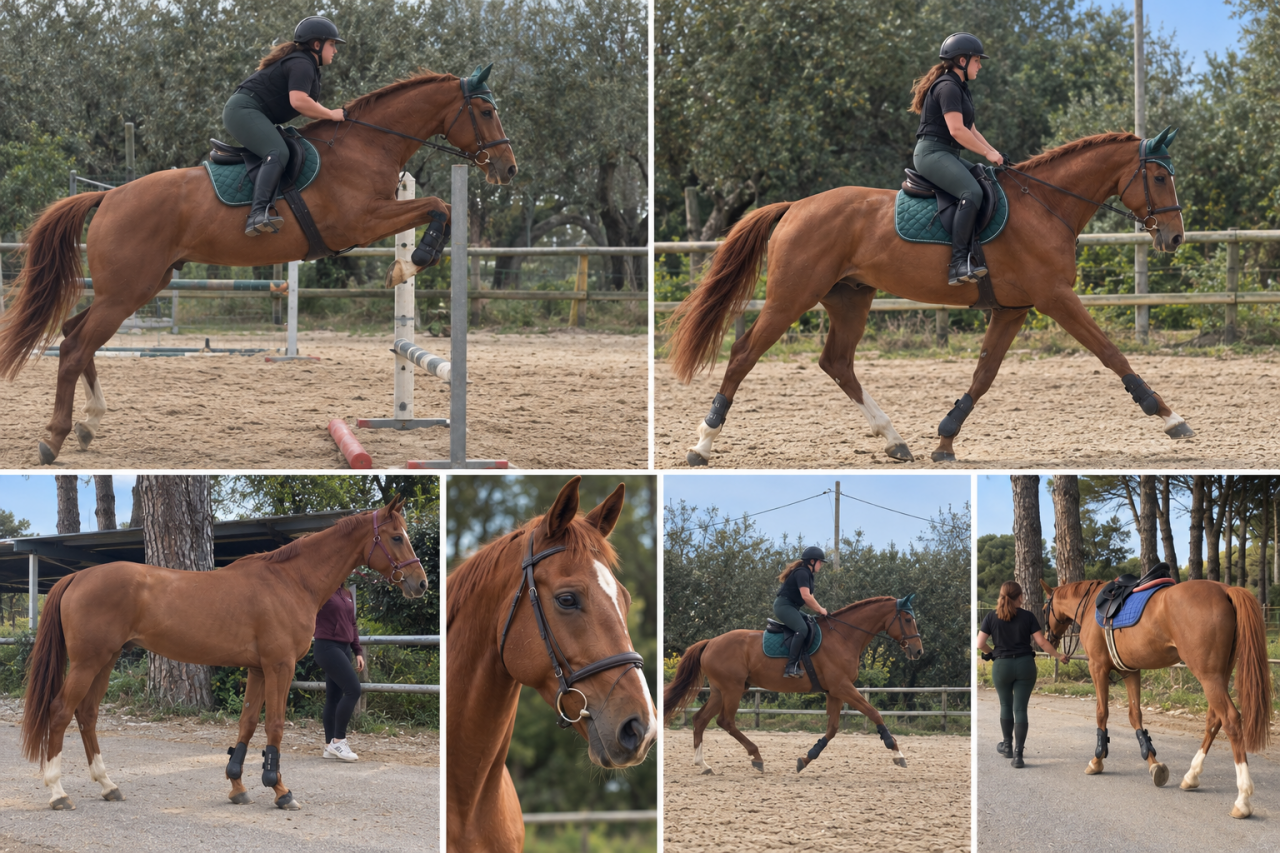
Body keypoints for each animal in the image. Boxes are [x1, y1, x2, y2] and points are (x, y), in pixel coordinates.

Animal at [0, 67, 517, 465]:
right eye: (485, 112)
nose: (507, 169)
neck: (365, 146)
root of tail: (108, 197)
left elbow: (437, 208)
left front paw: (406, 265)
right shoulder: (363, 221)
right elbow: (437, 206)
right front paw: (414, 262)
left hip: (136, 288)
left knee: (75, 335)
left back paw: (89, 425)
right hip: (126, 292)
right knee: (74, 348)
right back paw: (54, 440)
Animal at [19, 494, 428, 810]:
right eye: (396, 537)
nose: (420, 583)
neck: (291, 581)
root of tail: (78, 576)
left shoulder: (258, 669)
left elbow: (247, 723)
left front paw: (237, 786)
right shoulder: (279, 666)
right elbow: (275, 725)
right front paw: (280, 791)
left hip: (104, 661)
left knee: (86, 715)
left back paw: (108, 786)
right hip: (87, 663)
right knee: (60, 712)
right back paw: (58, 792)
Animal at [664, 129, 1191, 466]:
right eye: (1159, 178)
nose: (1174, 238)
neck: (1046, 206)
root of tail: (795, 206)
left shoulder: (1013, 310)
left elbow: (983, 376)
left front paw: (945, 440)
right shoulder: (1056, 298)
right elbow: (1112, 354)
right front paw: (1169, 417)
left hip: (850, 299)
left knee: (837, 363)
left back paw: (894, 441)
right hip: (790, 298)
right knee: (743, 353)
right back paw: (703, 444)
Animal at [664, 595, 924, 774]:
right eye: (908, 619)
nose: (918, 651)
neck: (844, 636)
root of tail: (710, 642)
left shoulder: (834, 691)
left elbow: (832, 729)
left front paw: (806, 759)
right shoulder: (842, 687)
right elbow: (874, 713)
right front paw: (896, 752)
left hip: (720, 691)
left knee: (700, 720)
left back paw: (704, 765)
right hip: (732, 689)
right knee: (725, 721)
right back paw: (756, 756)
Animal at [1040, 578, 1271, 818]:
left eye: (1044, 609)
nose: (1048, 640)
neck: (1092, 605)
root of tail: (1225, 589)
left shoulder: (1098, 668)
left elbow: (1102, 713)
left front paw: (1097, 760)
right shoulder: (1130, 671)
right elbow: (1135, 716)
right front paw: (1153, 763)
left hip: (1209, 677)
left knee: (1231, 720)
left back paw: (1242, 799)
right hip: (1220, 675)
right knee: (1214, 720)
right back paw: (1191, 776)